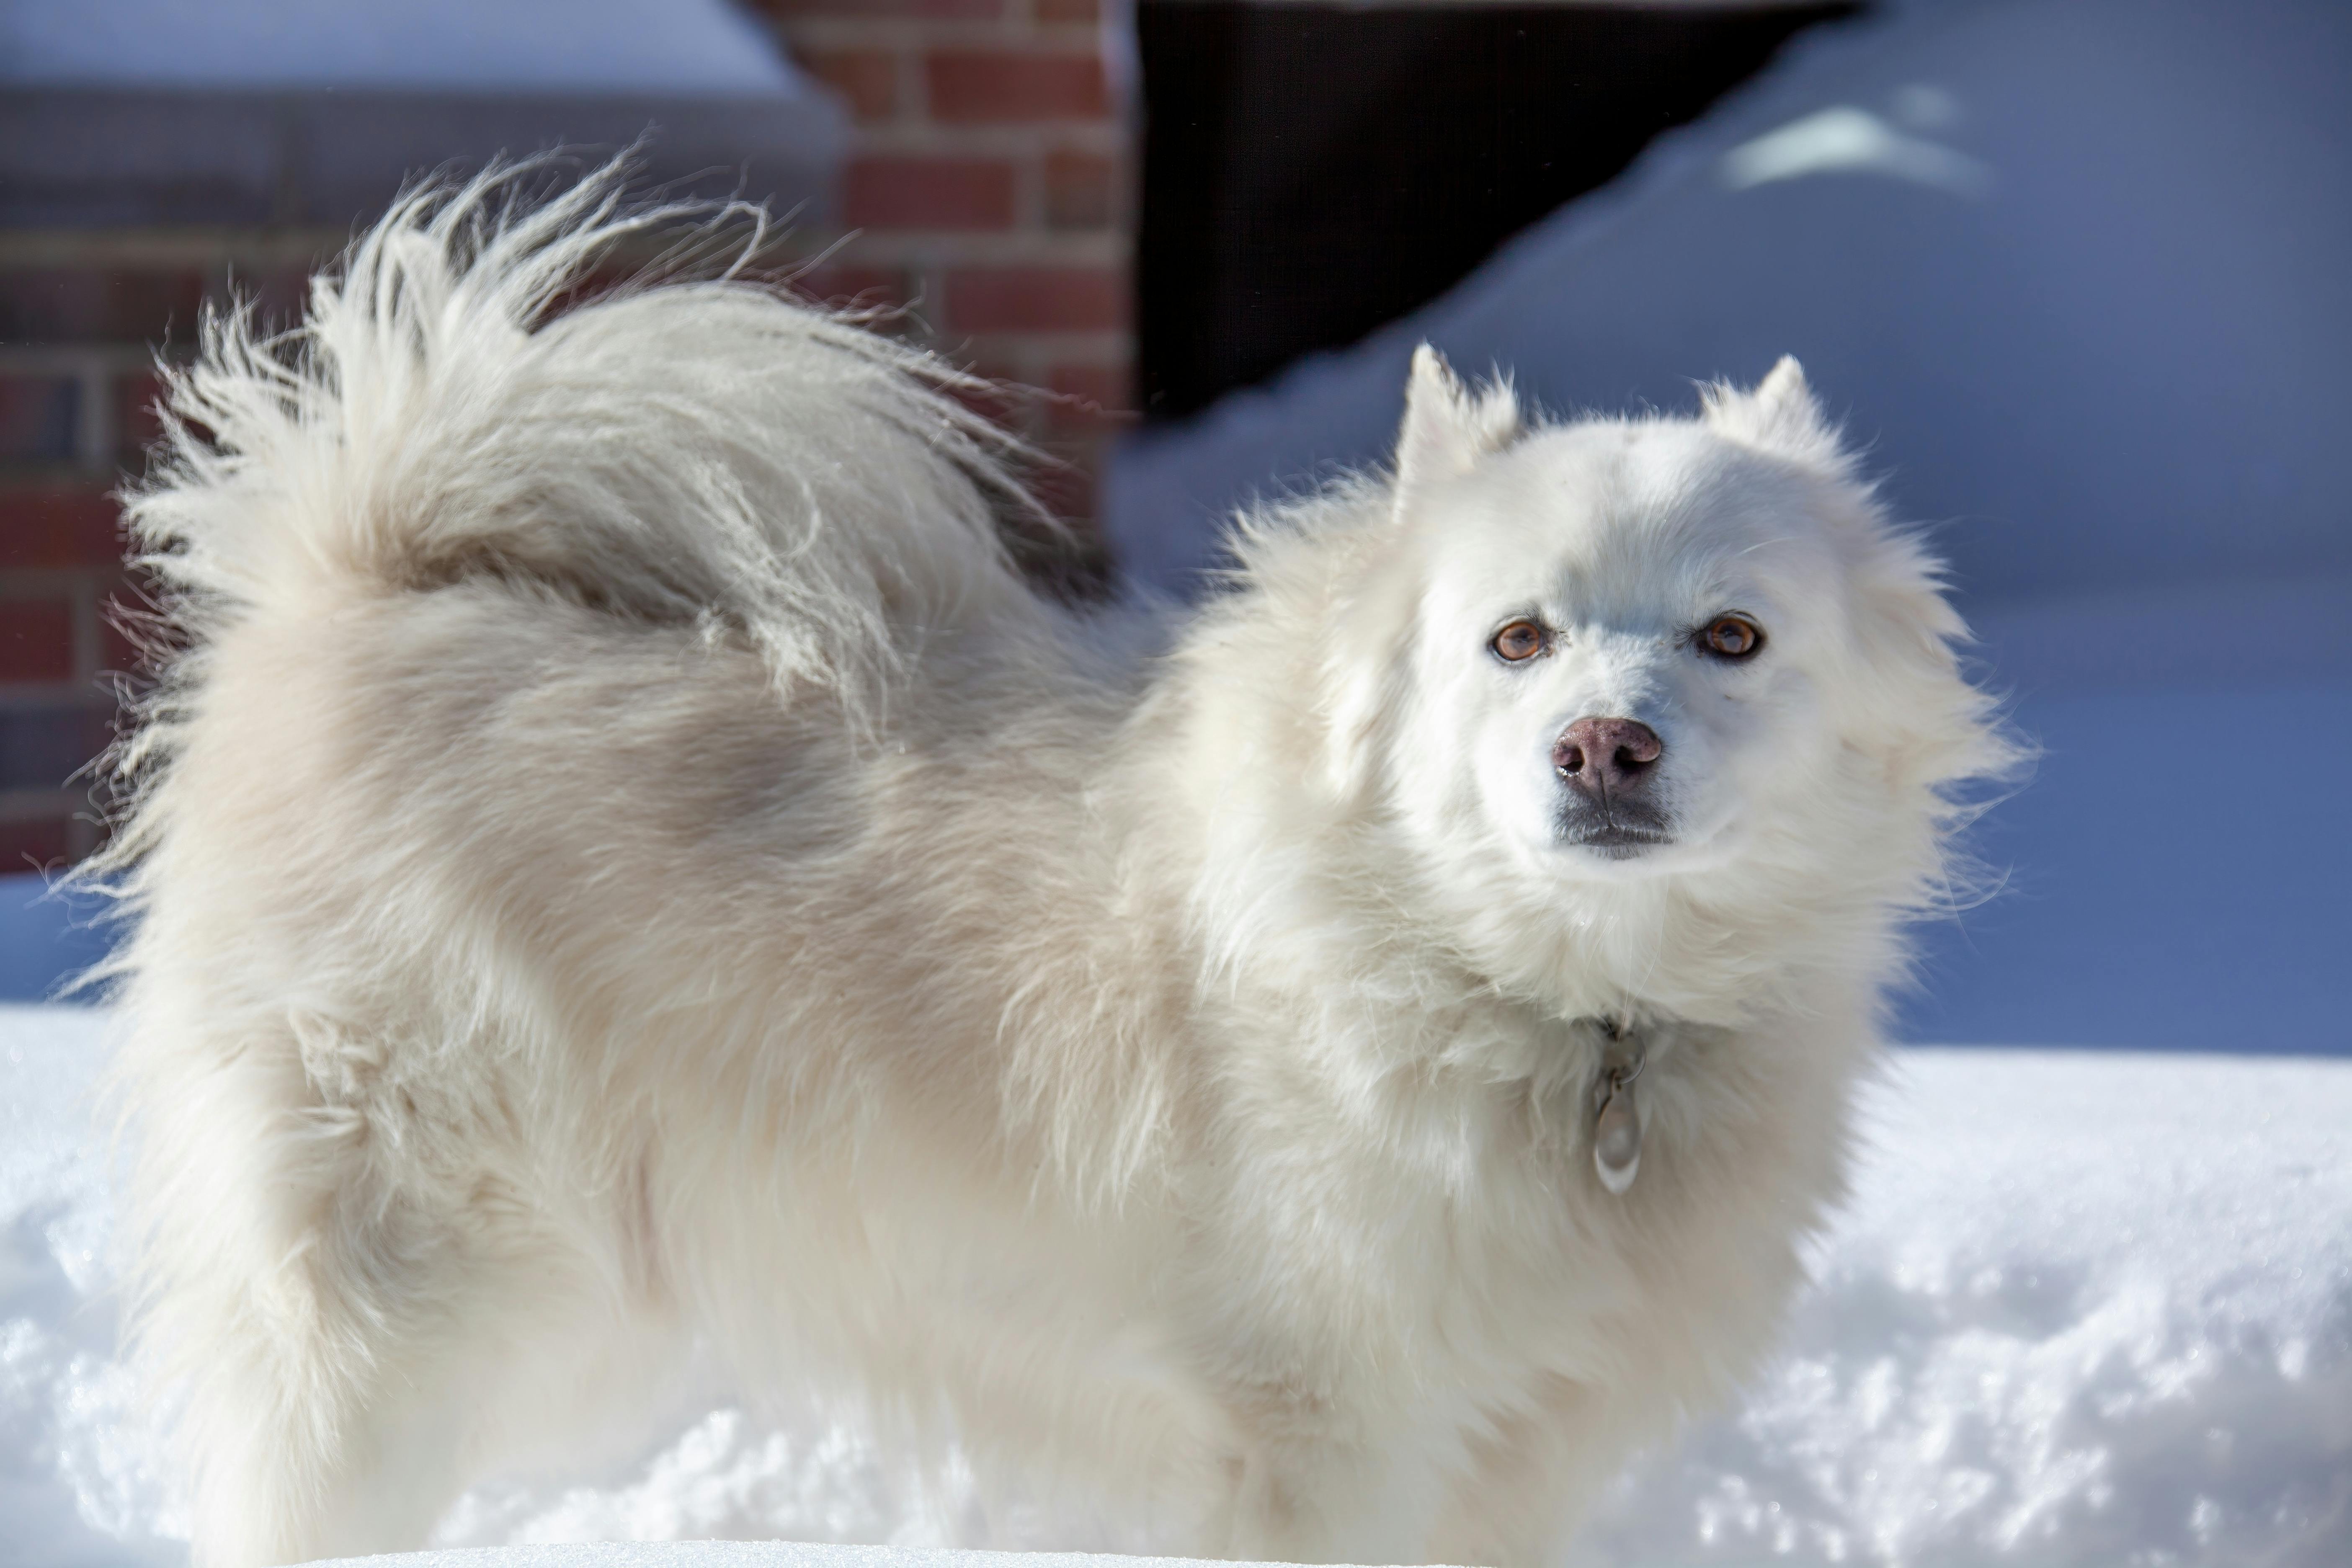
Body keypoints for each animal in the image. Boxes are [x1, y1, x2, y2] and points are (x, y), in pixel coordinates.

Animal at [92, 165, 2004, 1561]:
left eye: (1732, 638)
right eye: (1516, 639)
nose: (1605, 745)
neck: (1559, 1010)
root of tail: (360, 572)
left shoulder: (1506, 1464)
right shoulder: (1322, 1446)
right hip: (397, 1327)